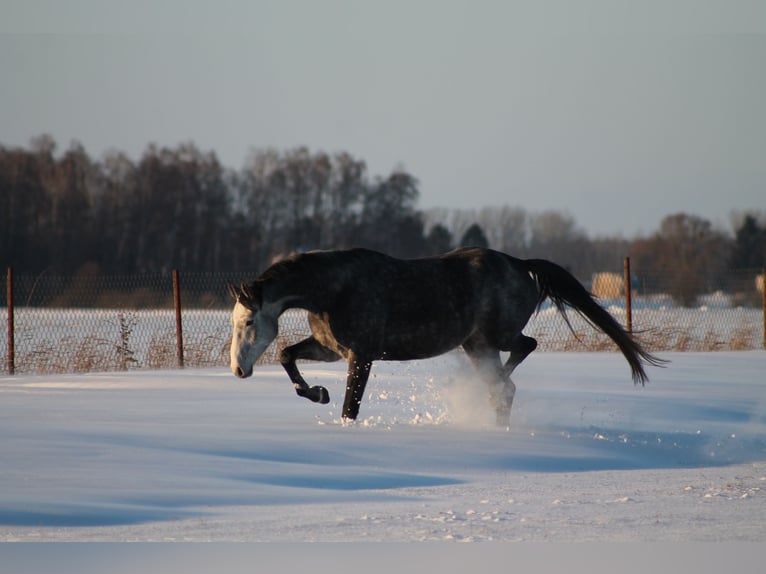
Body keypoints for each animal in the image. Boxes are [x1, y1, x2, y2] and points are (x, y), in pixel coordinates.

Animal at [228, 247, 664, 424]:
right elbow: (287, 355)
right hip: (476, 345)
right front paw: (318, 393)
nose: (237, 371)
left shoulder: (362, 355)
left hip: (492, 339)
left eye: (248, 323)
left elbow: (351, 405)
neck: (334, 289)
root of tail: (520, 264)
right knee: (505, 385)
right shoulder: (330, 349)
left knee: (523, 351)